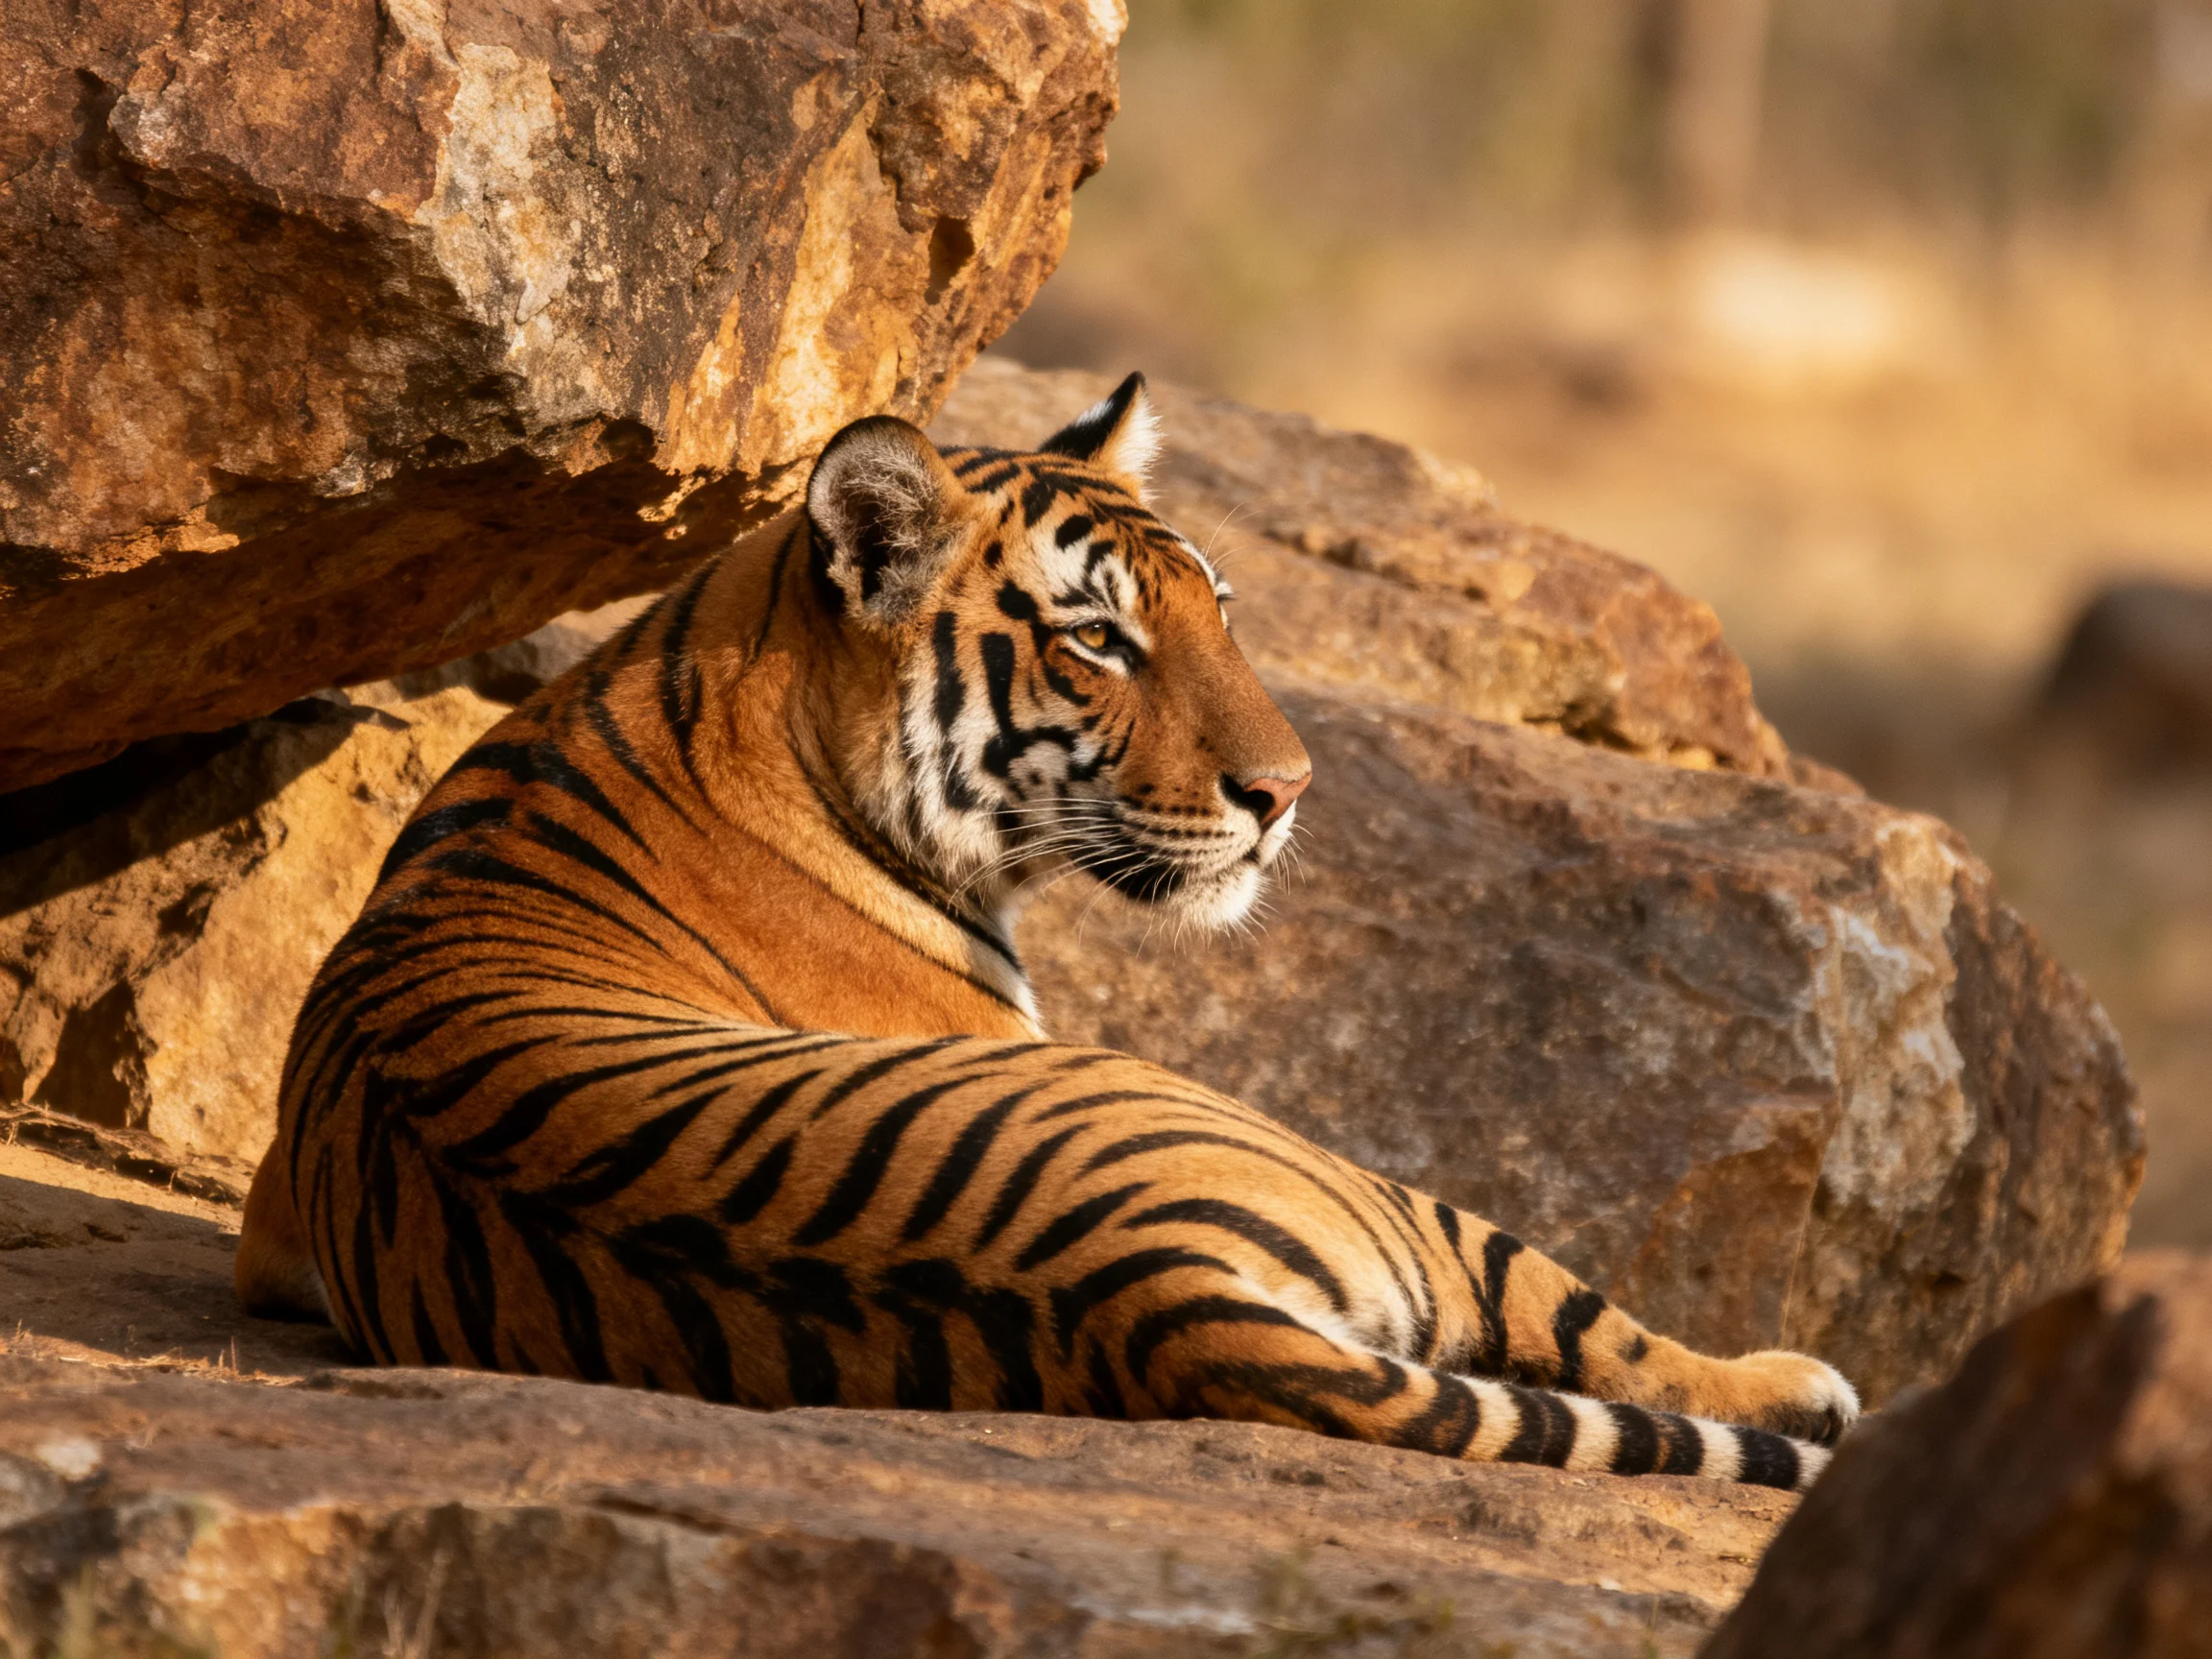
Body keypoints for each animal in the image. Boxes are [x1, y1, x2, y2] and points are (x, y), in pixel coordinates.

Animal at [237, 373, 1859, 1490]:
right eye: (1097, 642)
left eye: (1220, 611)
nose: (1289, 793)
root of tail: (1151, 1292)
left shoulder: (270, 1232)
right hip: (1354, 1173)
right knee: (1598, 1329)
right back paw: (1807, 1386)